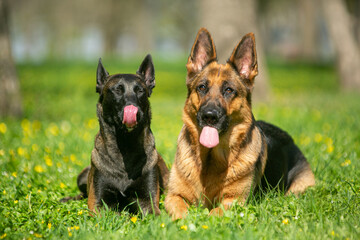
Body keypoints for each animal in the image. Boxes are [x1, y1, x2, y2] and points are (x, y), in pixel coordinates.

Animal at [61, 54, 169, 216]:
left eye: (140, 91)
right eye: (117, 90)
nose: (134, 111)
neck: (125, 145)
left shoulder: (147, 200)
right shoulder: (98, 203)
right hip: (82, 176)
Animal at [164, 28, 316, 219]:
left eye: (229, 90)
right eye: (202, 87)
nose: (209, 116)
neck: (210, 161)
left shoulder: (233, 201)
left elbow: (213, 214)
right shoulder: (173, 196)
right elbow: (181, 212)